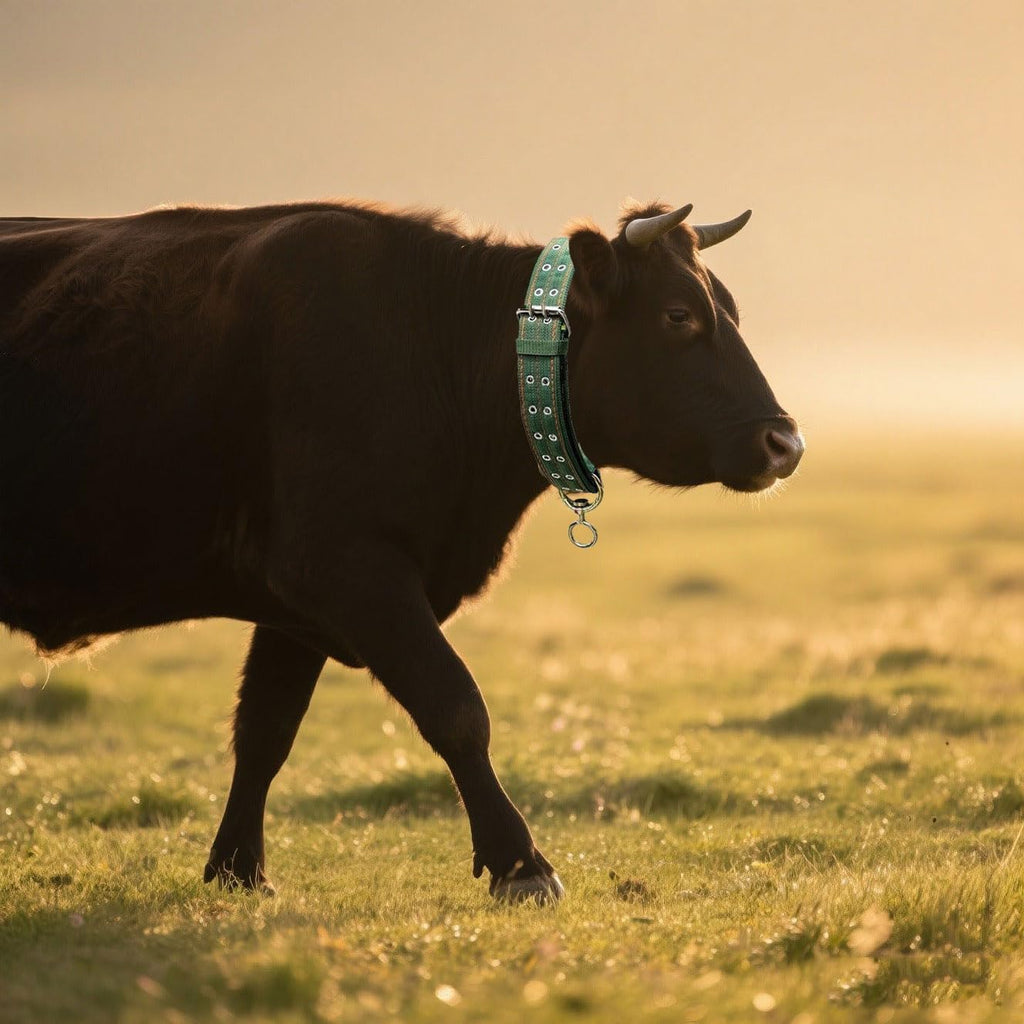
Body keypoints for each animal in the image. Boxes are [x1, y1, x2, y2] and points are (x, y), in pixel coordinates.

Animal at [0, 199, 803, 902]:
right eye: (678, 315)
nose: (785, 443)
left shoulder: (295, 606)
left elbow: (264, 732)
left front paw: (238, 870)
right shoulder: (349, 569)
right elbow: (455, 707)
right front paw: (521, 865)